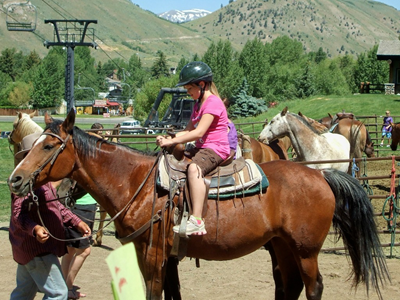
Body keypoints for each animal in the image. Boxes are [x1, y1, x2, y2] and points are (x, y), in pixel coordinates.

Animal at [10, 110, 390, 300]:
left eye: (48, 147)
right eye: (35, 142)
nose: (15, 179)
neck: (139, 183)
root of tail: (321, 177)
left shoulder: (153, 255)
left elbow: (155, 294)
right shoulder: (163, 255)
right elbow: (173, 295)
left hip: (306, 249)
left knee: (313, 288)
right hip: (282, 246)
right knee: (291, 286)